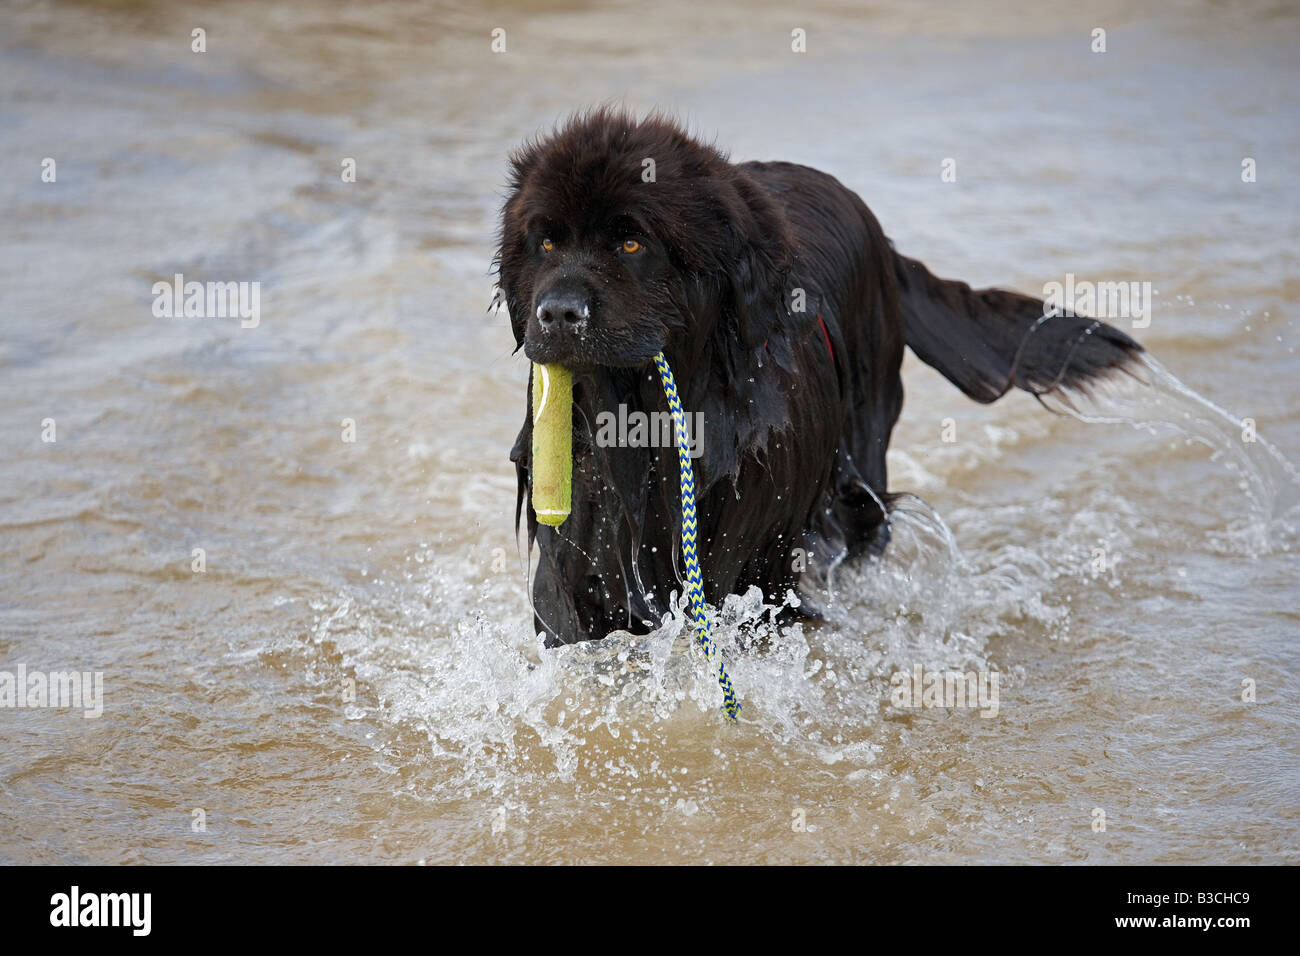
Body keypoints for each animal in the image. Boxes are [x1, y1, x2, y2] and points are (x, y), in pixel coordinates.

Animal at [491, 108, 1144, 647]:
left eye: (631, 243)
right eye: (545, 242)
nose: (558, 313)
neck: (643, 422)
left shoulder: (754, 560)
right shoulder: (582, 546)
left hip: (864, 453)